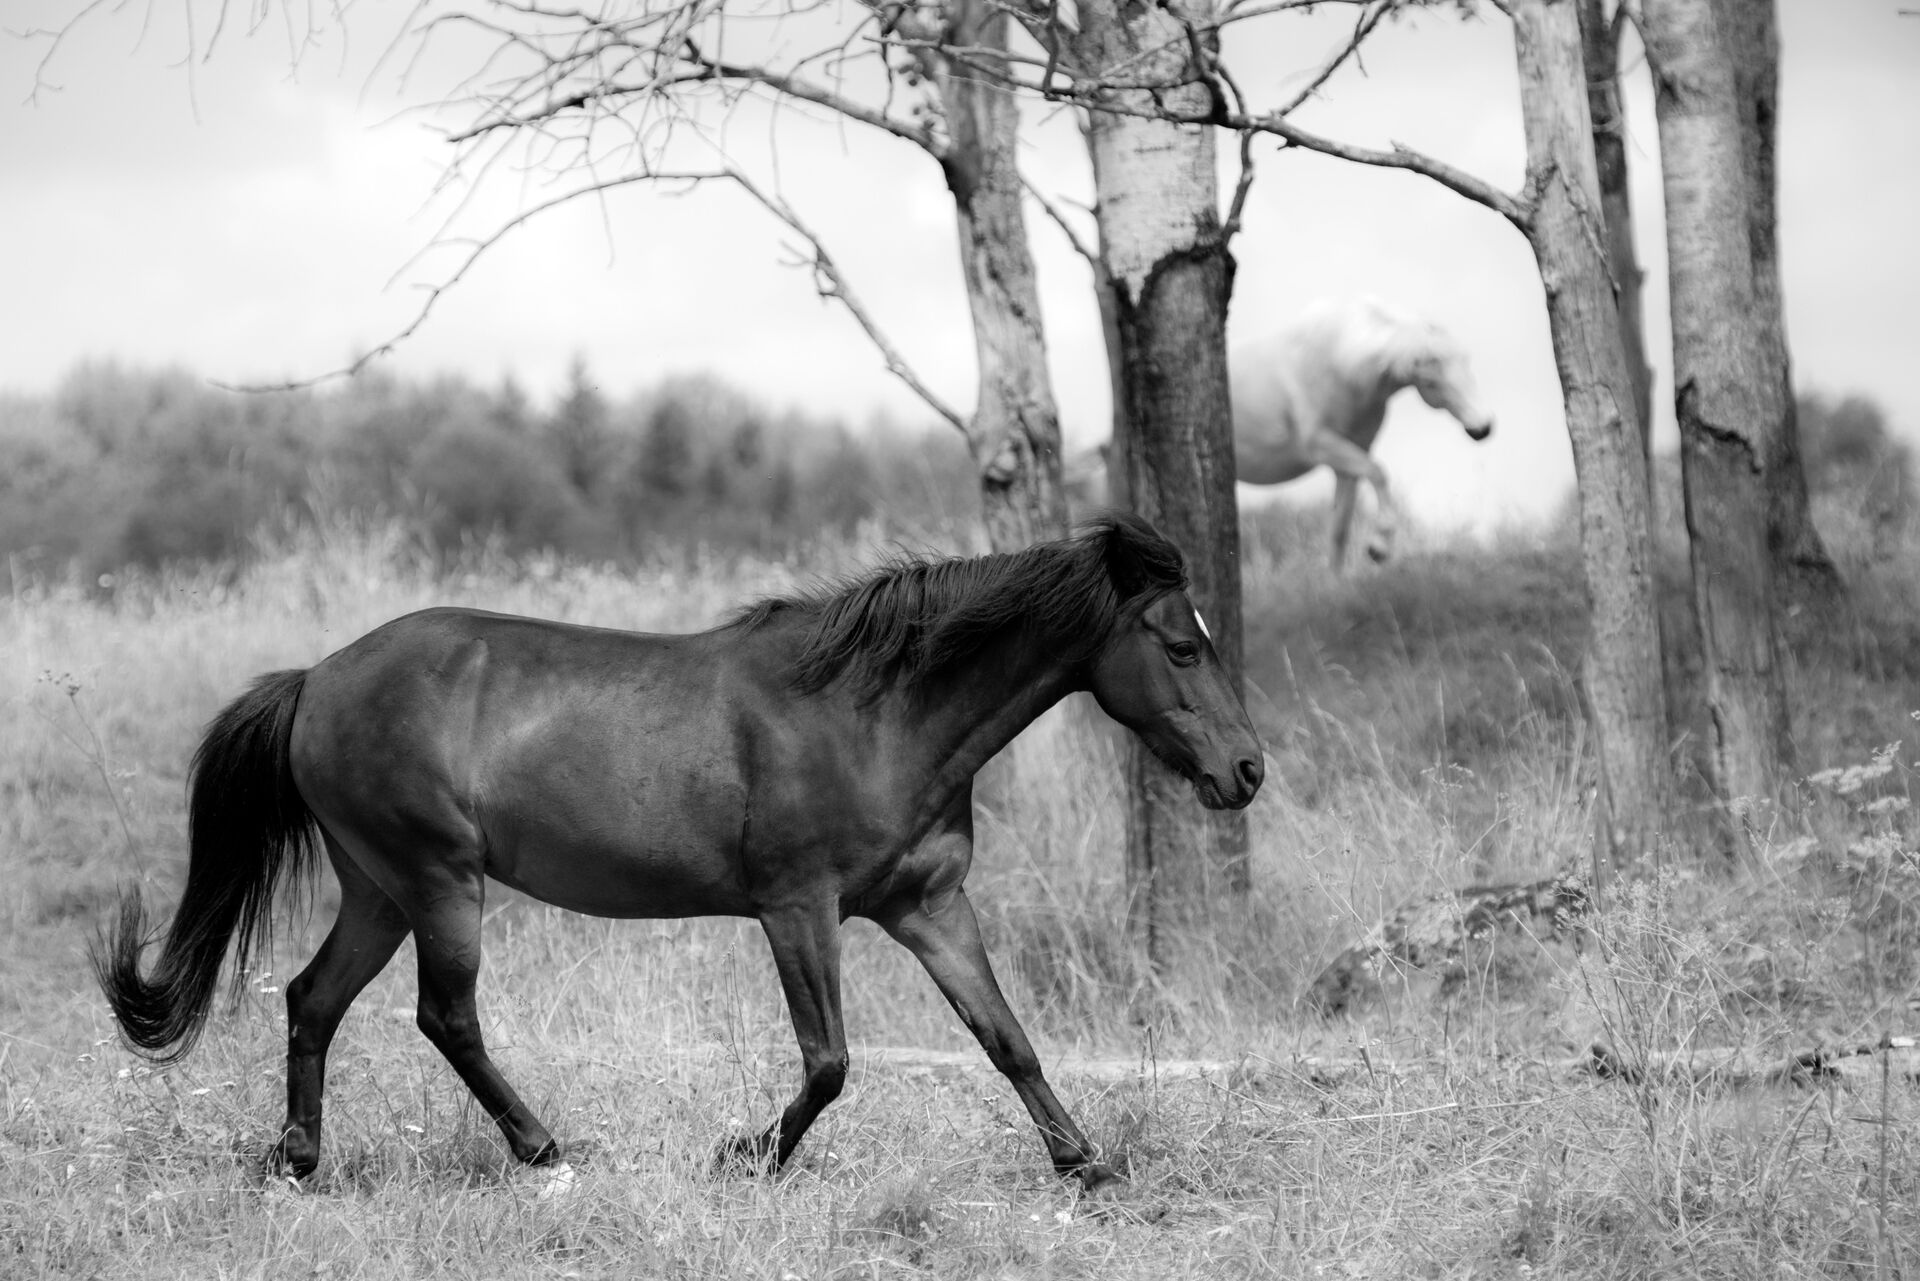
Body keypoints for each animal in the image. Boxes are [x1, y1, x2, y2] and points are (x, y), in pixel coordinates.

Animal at [93, 514, 1264, 1195]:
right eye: (1180, 645)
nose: (1246, 771)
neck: (873, 712)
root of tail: (317, 678)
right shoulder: (798, 908)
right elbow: (830, 1060)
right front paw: (743, 1157)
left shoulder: (930, 906)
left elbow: (1005, 1036)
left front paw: (1085, 1162)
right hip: (438, 880)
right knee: (445, 1016)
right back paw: (544, 1150)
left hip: (379, 887)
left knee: (312, 999)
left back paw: (298, 1160)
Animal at [1066, 298, 1495, 569]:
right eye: (1433, 376)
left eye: (1468, 361)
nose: (1483, 428)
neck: (1341, 364)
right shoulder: (1323, 446)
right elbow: (1379, 473)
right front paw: (1379, 547)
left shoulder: (1347, 459)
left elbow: (1339, 527)